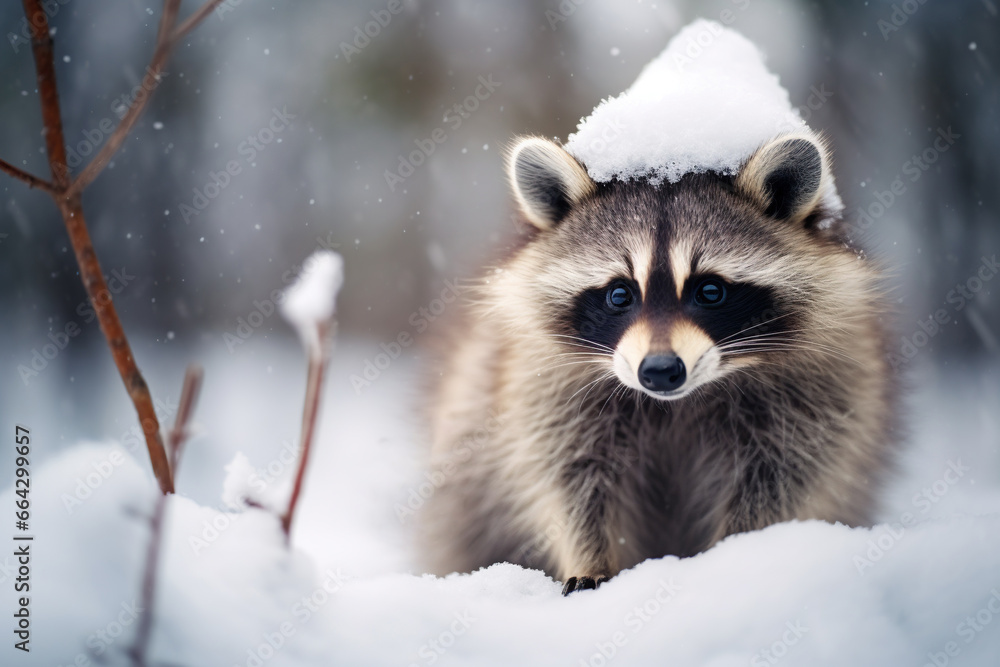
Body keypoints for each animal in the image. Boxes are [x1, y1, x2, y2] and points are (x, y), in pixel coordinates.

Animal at [419, 130, 898, 594]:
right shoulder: (545, 387)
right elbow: (568, 478)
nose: (660, 371)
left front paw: (739, 550)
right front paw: (590, 555)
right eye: (619, 294)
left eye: (710, 291)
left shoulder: (818, 388)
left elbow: (787, 471)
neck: (678, 402)